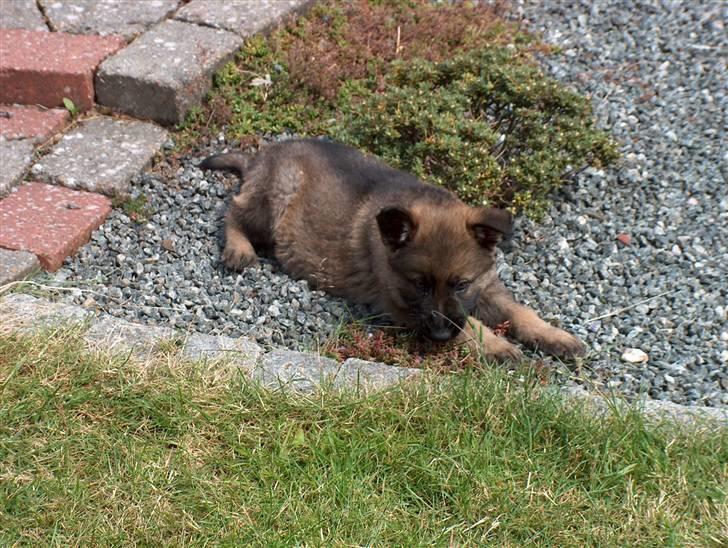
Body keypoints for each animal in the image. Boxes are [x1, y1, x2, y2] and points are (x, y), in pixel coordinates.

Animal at [200, 139, 584, 362]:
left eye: (461, 284)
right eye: (420, 284)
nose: (440, 337)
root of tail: (259, 158)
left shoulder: (485, 287)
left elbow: (520, 311)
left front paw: (555, 336)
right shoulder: (402, 306)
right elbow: (471, 325)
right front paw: (496, 345)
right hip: (277, 195)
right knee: (233, 210)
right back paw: (239, 248)